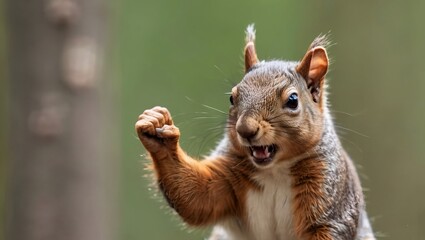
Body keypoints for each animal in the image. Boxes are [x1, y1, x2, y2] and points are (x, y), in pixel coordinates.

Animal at [135, 24, 374, 240]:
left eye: (293, 100)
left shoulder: (329, 190)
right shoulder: (229, 171)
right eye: (232, 98)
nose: (245, 129)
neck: (274, 170)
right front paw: (157, 127)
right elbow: (198, 198)